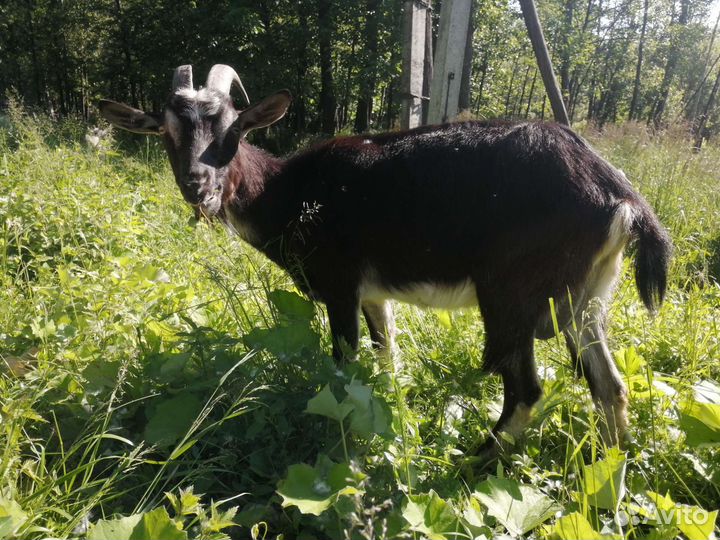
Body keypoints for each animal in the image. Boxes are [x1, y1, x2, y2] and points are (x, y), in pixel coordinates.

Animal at [100, 64, 671, 451]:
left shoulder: (339, 284)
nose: (199, 186)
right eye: (167, 133)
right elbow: (387, 357)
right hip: (586, 297)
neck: (288, 192)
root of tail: (621, 194)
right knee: (610, 386)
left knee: (526, 389)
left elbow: (344, 364)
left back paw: (473, 462)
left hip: (512, 292)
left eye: (233, 129)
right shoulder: (374, 294)